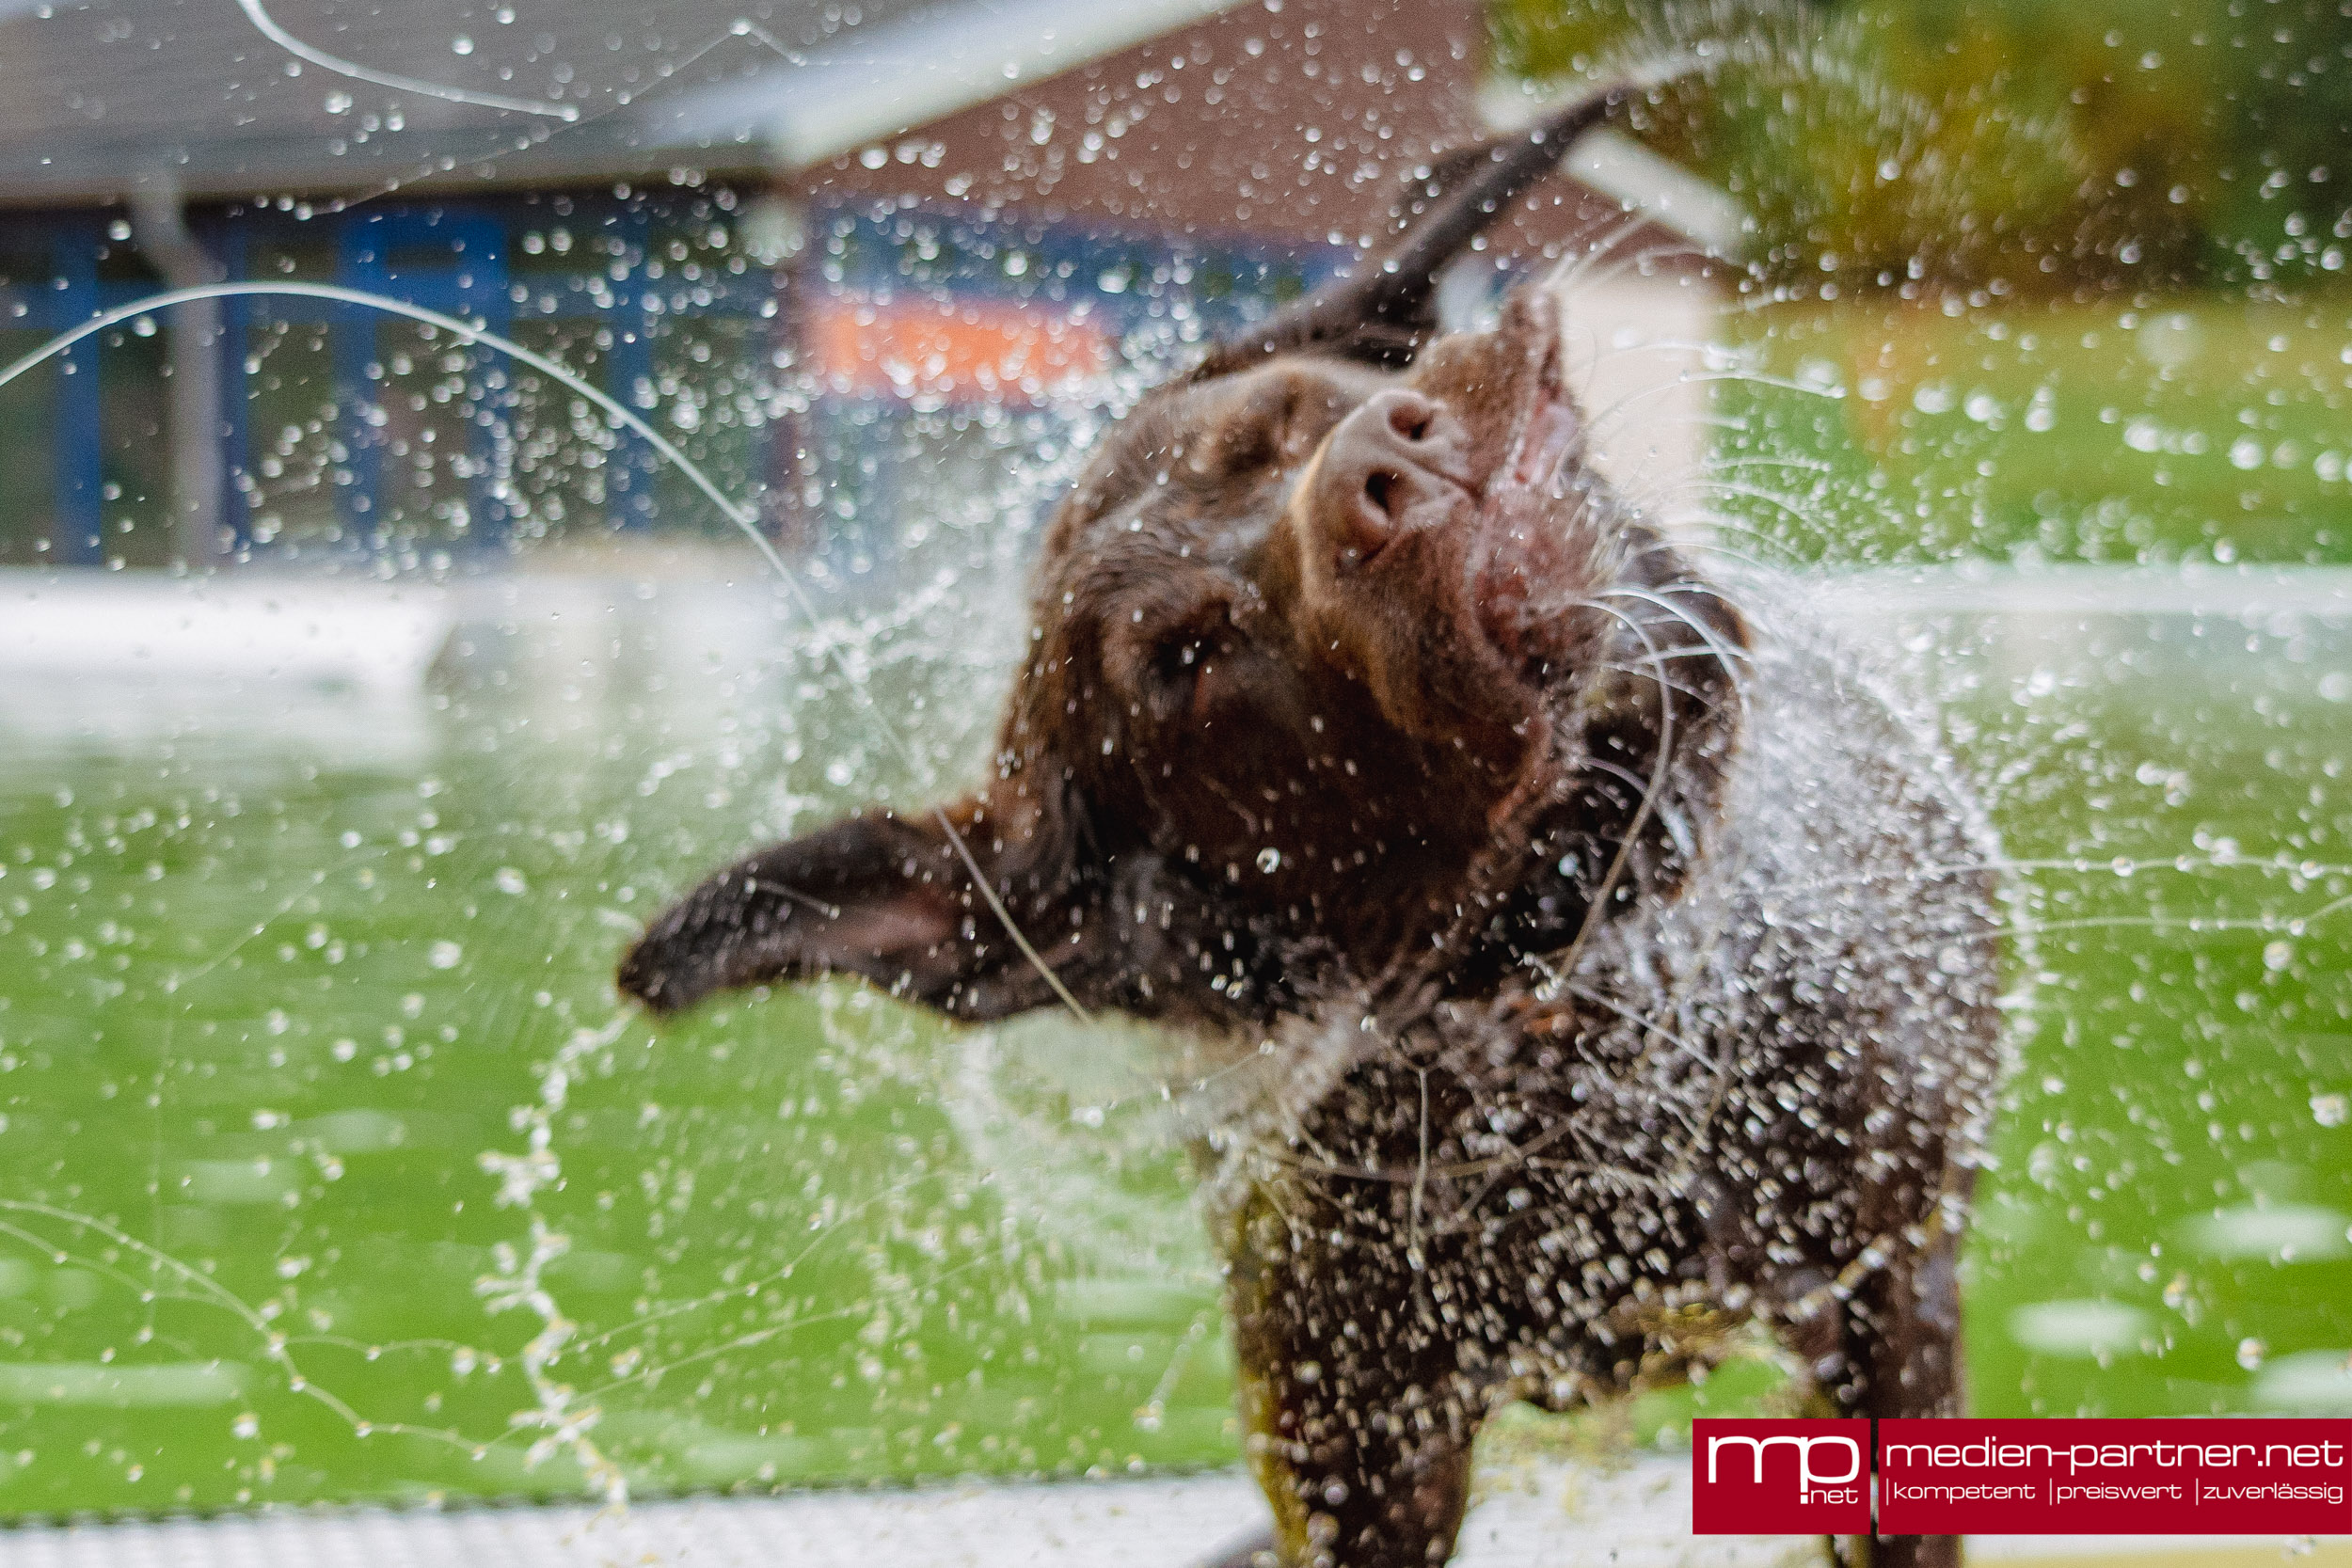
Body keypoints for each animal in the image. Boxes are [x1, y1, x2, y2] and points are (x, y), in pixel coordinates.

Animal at [621, 86, 2004, 1568]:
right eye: (1185, 658)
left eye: (1285, 425)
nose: (1384, 463)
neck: (1569, 1010)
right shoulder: (1347, 1432)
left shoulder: (1887, 1292)